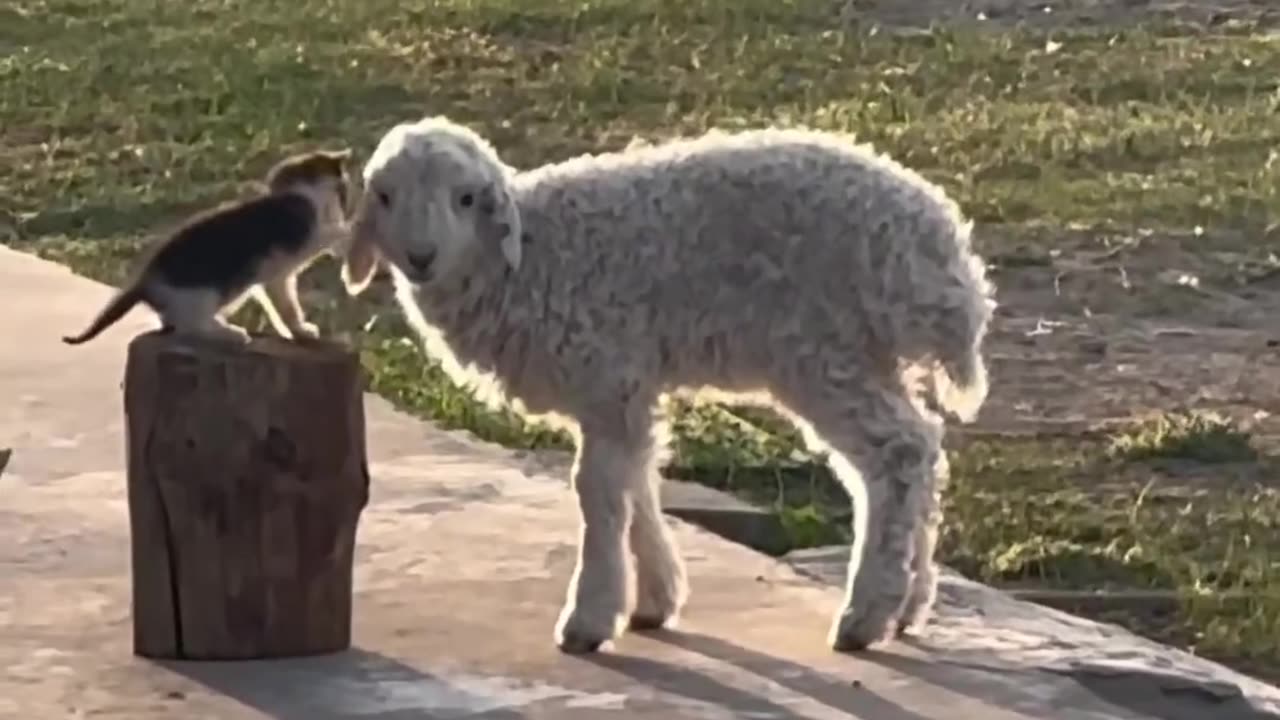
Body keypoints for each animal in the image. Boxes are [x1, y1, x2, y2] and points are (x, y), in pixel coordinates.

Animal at [63, 148, 353, 345]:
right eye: (343, 192)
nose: (345, 205)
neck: (300, 194)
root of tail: (144, 281)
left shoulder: (277, 276)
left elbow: (286, 306)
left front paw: (299, 330)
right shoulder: (300, 232)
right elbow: (325, 234)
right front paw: (349, 227)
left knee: (172, 324)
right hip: (206, 291)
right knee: (189, 327)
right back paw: (228, 332)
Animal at [340, 114, 998, 653]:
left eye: (466, 198)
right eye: (385, 196)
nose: (421, 257)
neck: (529, 260)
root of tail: (940, 248)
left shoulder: (607, 373)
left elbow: (599, 492)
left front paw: (589, 618)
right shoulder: (624, 387)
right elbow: (636, 483)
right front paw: (655, 599)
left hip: (824, 350)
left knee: (897, 453)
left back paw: (867, 613)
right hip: (867, 354)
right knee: (923, 445)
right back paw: (909, 603)